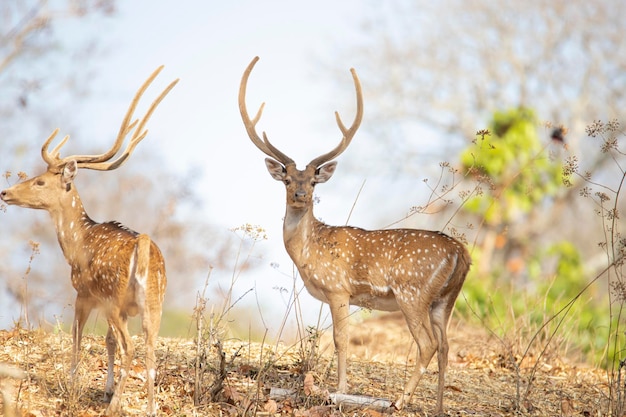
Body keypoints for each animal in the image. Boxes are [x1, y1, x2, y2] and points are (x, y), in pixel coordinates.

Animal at [2, 66, 178, 414]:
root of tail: (144, 247)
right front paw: (107, 390)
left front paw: (74, 388)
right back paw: (150, 407)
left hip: (114, 298)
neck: (76, 245)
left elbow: (77, 336)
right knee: (149, 349)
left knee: (130, 347)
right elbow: (107, 342)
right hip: (154, 302)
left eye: (40, 181)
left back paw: (114, 408)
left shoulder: (84, 292)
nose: (5, 192)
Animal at [239, 57, 468, 414]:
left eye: (313, 180)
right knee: (445, 346)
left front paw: (340, 390)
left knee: (428, 344)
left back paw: (399, 400)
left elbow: (341, 340)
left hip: (413, 292)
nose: (301, 194)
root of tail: (461, 252)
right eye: (287, 179)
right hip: (445, 299)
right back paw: (439, 407)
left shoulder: (338, 289)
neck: (309, 253)